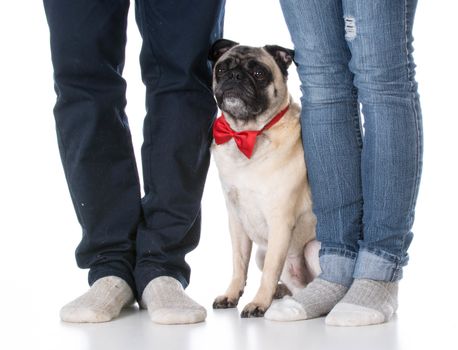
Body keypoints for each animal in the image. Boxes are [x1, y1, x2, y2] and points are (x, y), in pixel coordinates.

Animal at [208, 39, 320, 318]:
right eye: (222, 69)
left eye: (259, 73)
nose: (235, 76)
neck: (247, 133)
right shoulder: (236, 221)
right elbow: (239, 264)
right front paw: (231, 294)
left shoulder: (280, 222)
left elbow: (270, 271)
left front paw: (259, 303)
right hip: (262, 252)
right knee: (296, 286)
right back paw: (283, 292)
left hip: (312, 248)